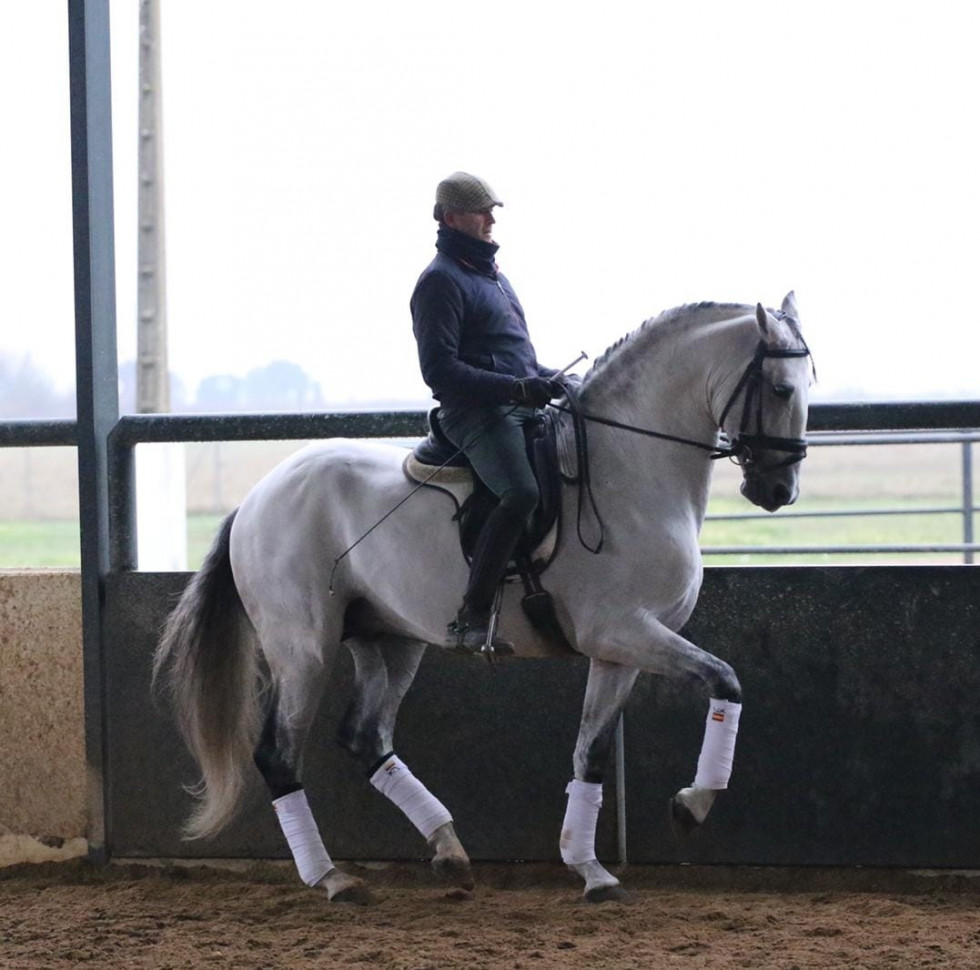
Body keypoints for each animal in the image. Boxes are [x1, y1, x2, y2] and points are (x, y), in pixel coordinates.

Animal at [154, 293, 812, 904]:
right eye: (781, 387)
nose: (778, 489)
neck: (631, 470)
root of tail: (256, 497)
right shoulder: (623, 631)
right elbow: (725, 680)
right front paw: (691, 805)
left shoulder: (619, 651)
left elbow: (591, 753)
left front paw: (591, 871)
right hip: (303, 649)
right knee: (279, 755)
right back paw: (333, 878)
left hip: (388, 639)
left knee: (367, 735)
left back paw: (448, 849)